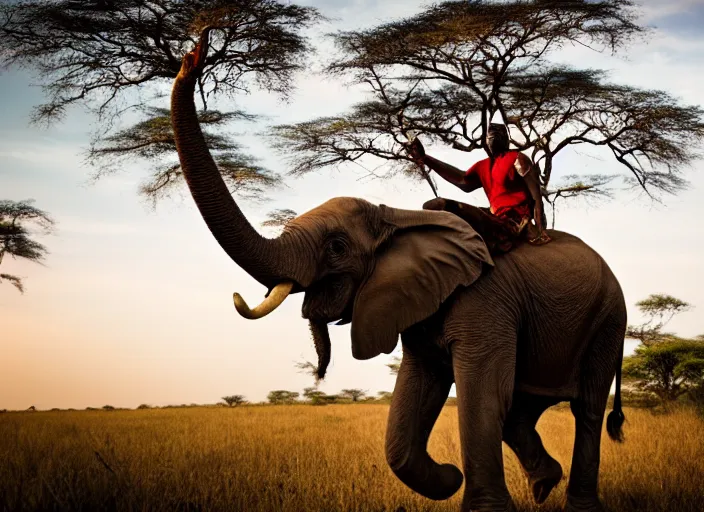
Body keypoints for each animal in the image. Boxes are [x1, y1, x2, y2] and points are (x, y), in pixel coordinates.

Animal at [169, 29, 628, 512]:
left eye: (337, 248)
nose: (193, 53)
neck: (397, 217)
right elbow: (414, 395)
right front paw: (448, 479)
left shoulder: (486, 299)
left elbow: (483, 398)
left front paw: (466, 491)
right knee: (524, 405)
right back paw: (543, 485)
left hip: (608, 318)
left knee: (585, 408)